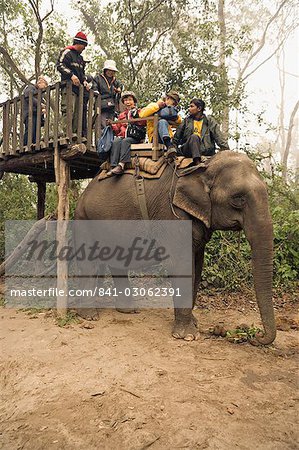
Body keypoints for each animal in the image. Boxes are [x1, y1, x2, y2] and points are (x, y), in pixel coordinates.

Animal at [75, 151, 276, 344]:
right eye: (238, 199)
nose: (255, 336)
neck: (202, 167)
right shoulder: (172, 214)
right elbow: (182, 265)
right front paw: (188, 336)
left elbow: (197, 266)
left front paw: (194, 324)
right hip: (84, 218)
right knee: (89, 264)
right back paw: (90, 317)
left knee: (118, 263)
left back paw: (128, 311)